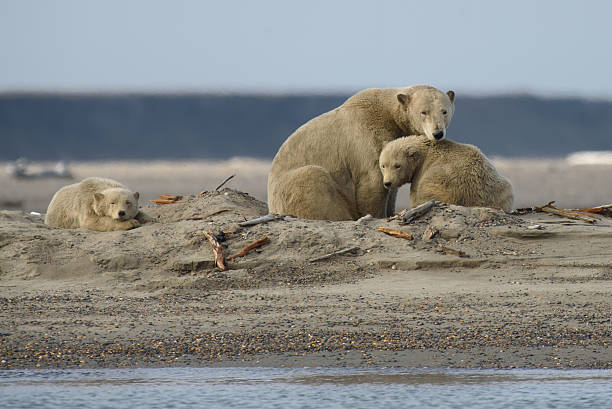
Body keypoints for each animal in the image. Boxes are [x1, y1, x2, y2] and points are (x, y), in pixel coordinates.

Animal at [268, 85, 454, 220]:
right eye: (424, 112)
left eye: (444, 111)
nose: (438, 133)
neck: (388, 116)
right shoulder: (366, 141)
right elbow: (373, 183)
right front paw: (376, 215)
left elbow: (392, 184)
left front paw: (391, 212)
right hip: (291, 187)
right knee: (313, 179)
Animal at [380, 136, 512, 212]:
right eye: (383, 165)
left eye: (397, 165)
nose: (387, 183)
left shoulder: (422, 173)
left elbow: (416, 194)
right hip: (500, 186)